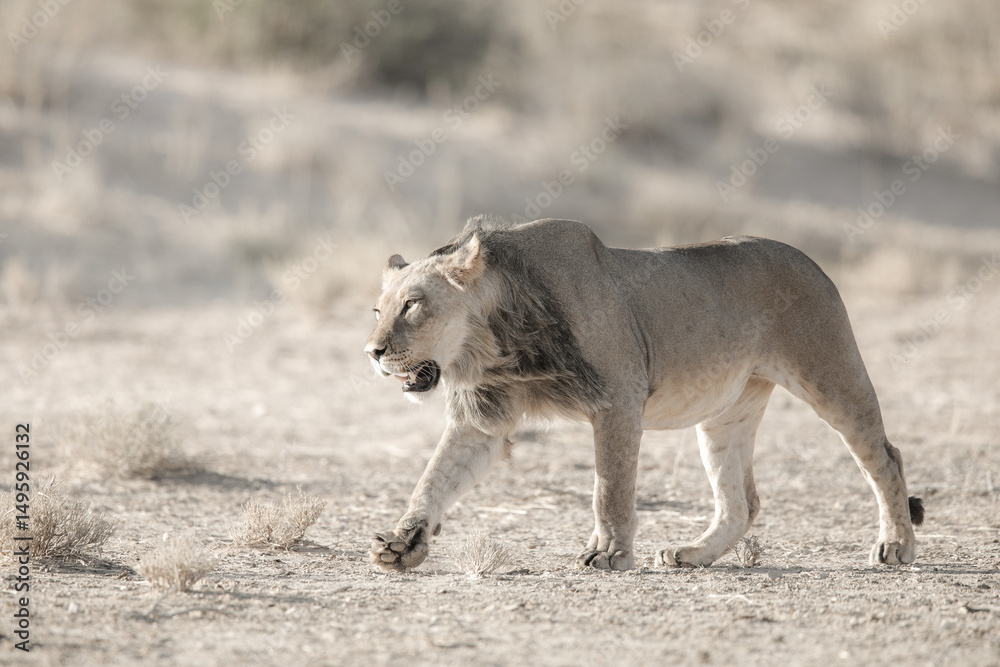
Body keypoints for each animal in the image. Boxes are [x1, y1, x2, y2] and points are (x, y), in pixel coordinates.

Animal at [364, 216, 923, 572]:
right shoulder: (483, 417)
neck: (498, 342)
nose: (372, 352)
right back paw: (693, 555)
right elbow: (434, 478)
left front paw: (609, 555)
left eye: (413, 305)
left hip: (831, 376)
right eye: (378, 309)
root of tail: (811, 260)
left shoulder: (618, 400)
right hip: (725, 414)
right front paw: (403, 543)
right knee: (742, 501)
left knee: (885, 457)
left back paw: (895, 546)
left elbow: (609, 487)